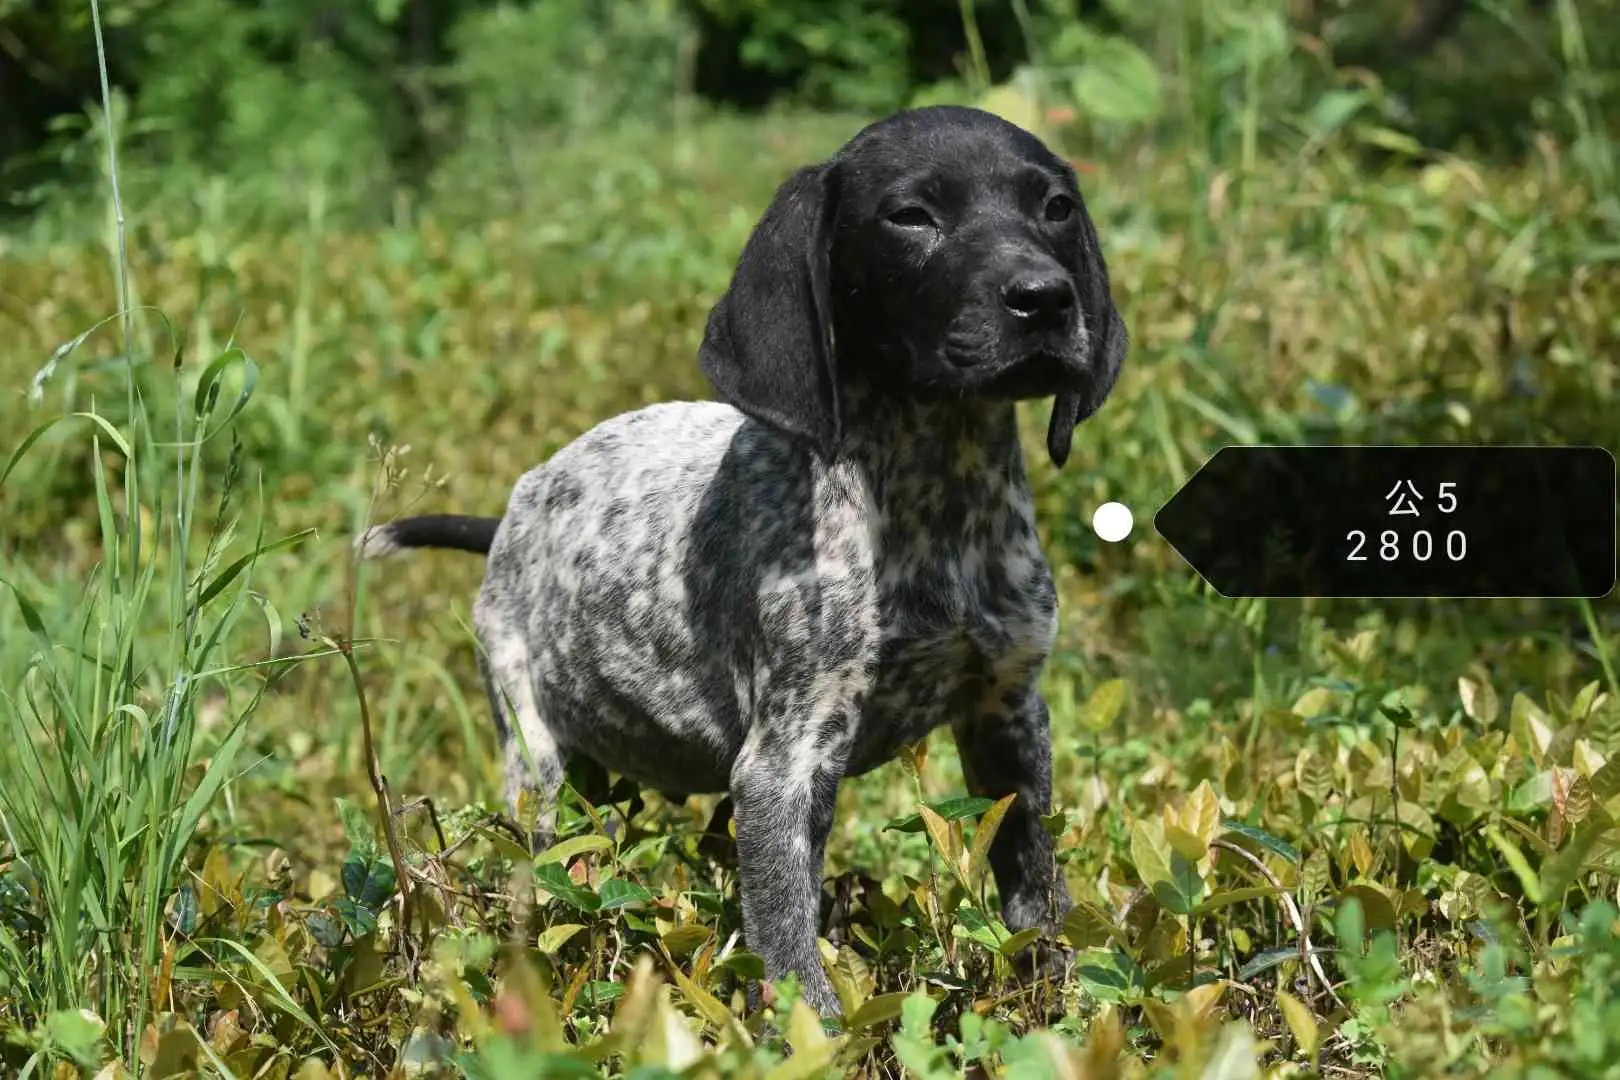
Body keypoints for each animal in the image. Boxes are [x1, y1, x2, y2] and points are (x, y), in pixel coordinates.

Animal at [361, 105, 1134, 1016]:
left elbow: (1036, 893)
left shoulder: (1009, 714)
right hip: (536, 751)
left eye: (1055, 208)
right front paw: (821, 1036)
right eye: (911, 217)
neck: (937, 489)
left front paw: (1062, 1004)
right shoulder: (786, 761)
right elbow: (791, 948)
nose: (1046, 297)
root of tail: (516, 507)